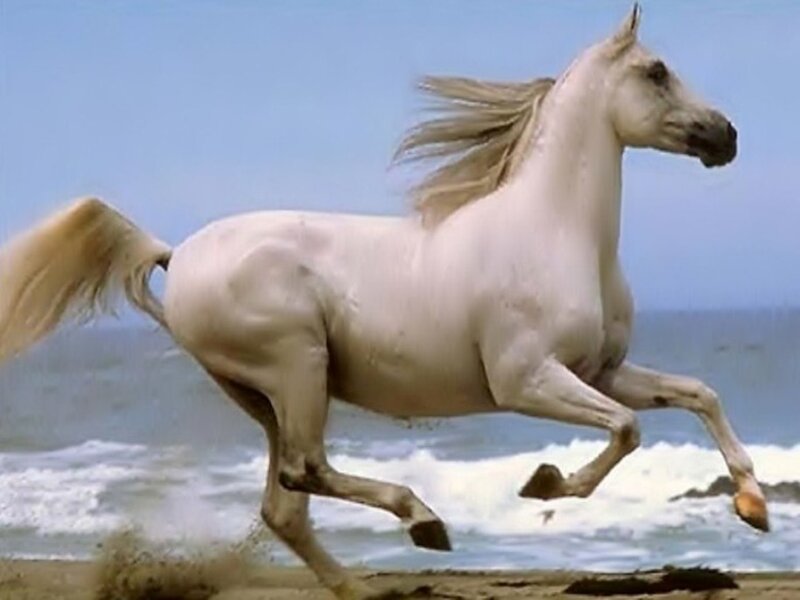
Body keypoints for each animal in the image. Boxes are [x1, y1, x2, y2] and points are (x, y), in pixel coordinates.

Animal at [0, 5, 767, 599]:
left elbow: (698, 394)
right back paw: (423, 521)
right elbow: (627, 431)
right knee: (305, 470)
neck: (555, 231)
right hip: (296, 366)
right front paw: (544, 482)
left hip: (262, 395)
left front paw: (753, 505)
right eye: (657, 71)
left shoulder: (602, 371)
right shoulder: (527, 380)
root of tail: (177, 254)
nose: (727, 135)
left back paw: (362, 583)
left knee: (284, 505)